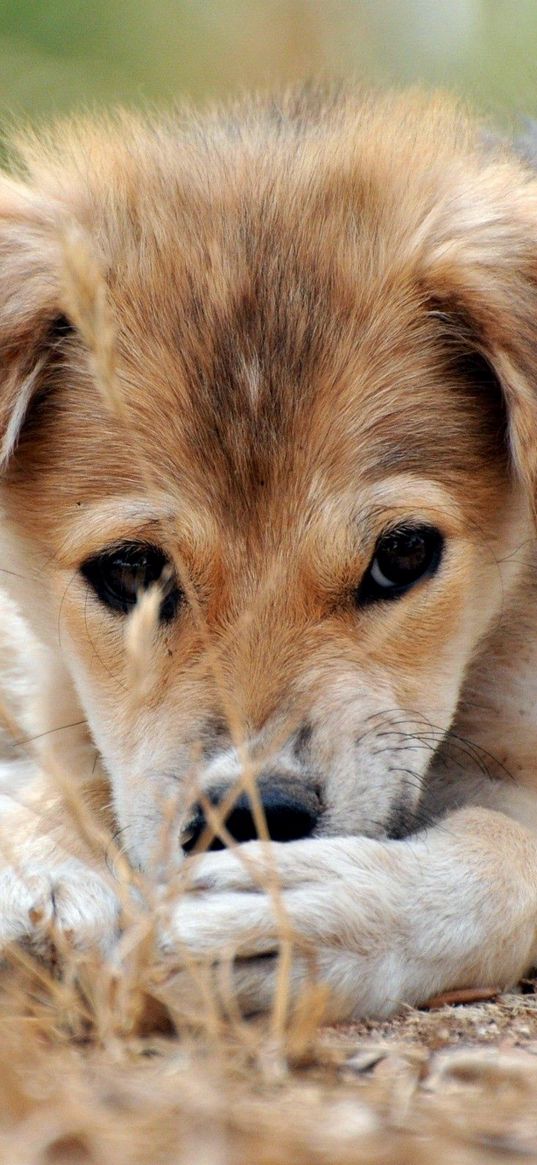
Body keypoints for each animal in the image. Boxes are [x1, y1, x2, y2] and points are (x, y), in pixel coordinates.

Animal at [2, 90, 535, 1020]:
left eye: (403, 553)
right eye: (131, 569)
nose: (253, 819)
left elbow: (505, 852)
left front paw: (315, 916)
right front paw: (49, 871)